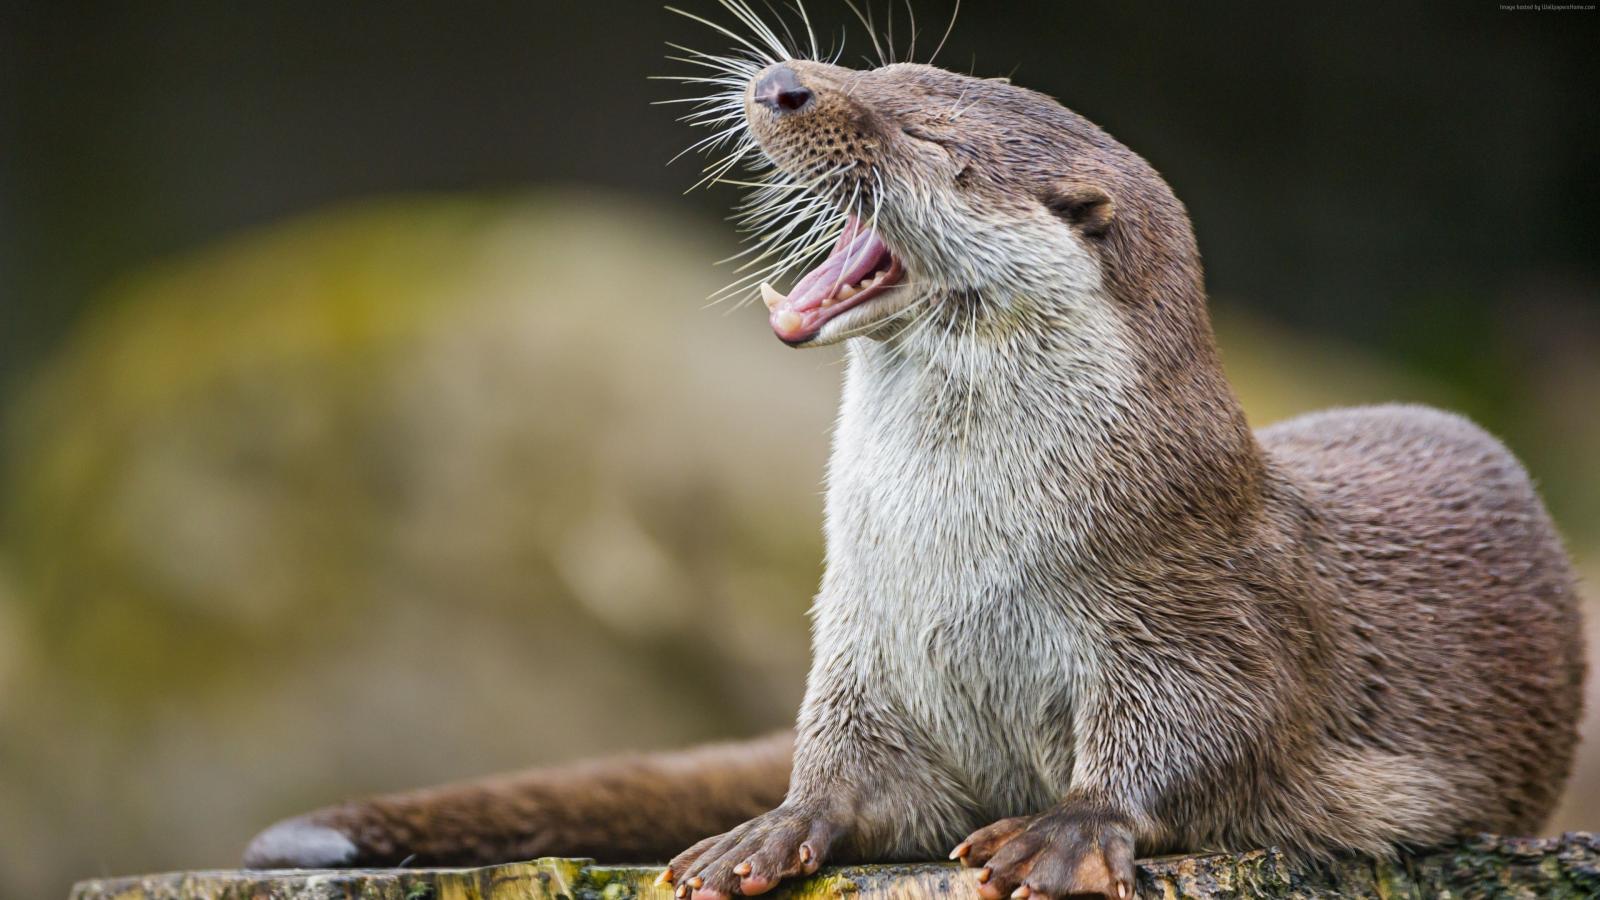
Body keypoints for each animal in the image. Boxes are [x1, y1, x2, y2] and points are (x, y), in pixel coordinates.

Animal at [244, 10, 1584, 900]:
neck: (959, 557)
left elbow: (1206, 734)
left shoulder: (1196, 603)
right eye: (881, 68)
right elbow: (851, 769)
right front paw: (775, 825)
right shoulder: (861, 638)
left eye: (928, 136)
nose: (786, 83)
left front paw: (1065, 828)